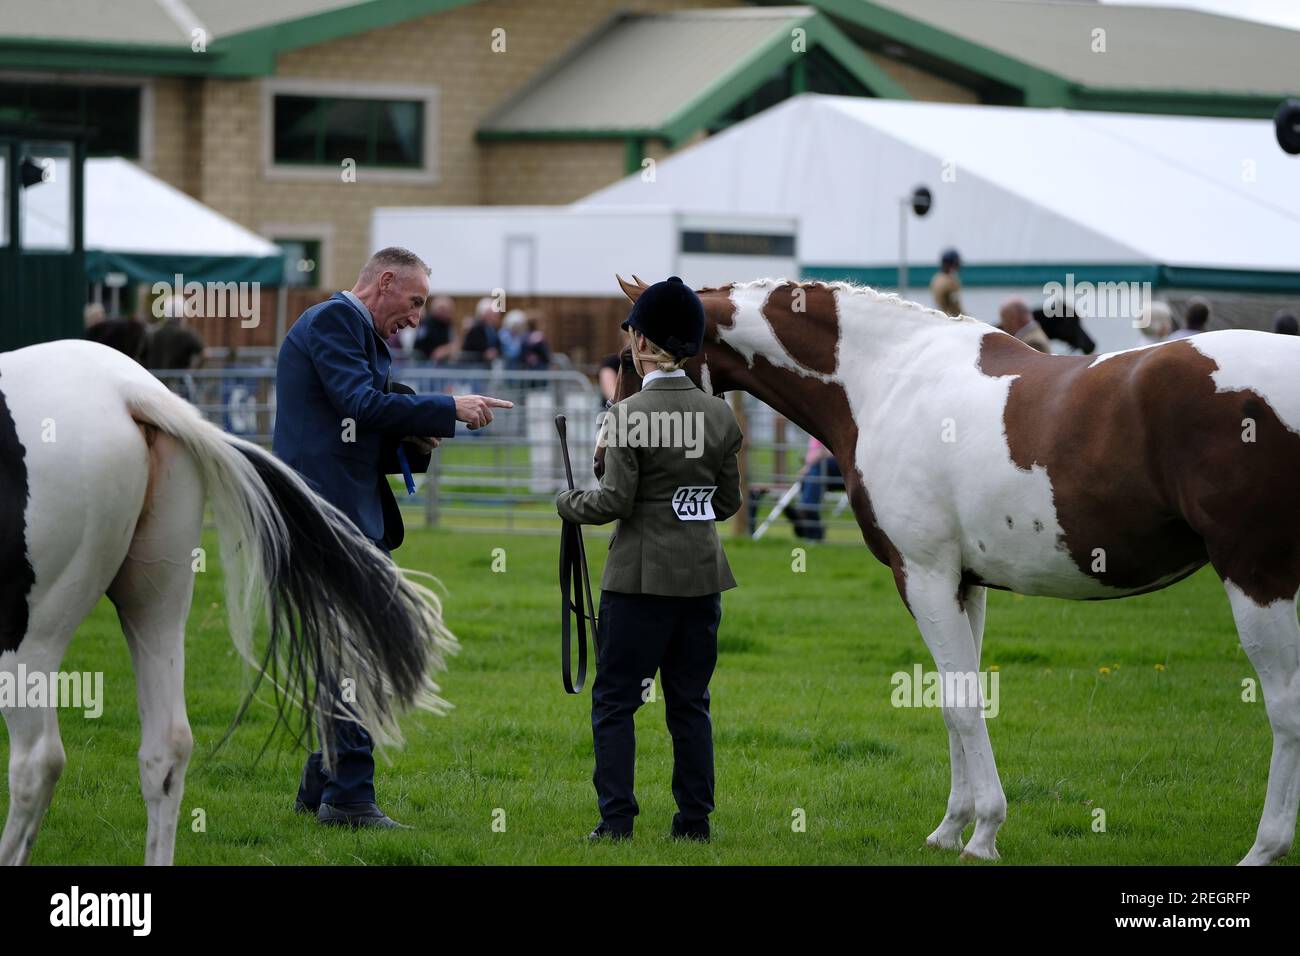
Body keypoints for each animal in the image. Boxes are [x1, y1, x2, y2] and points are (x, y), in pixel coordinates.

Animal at [605, 277, 1300, 868]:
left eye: (637, 357)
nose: (603, 455)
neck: (885, 380)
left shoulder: (925, 574)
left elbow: (964, 703)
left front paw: (983, 834)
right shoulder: (964, 583)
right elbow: (952, 700)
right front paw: (951, 827)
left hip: (1258, 577)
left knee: (1285, 708)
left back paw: (1262, 849)